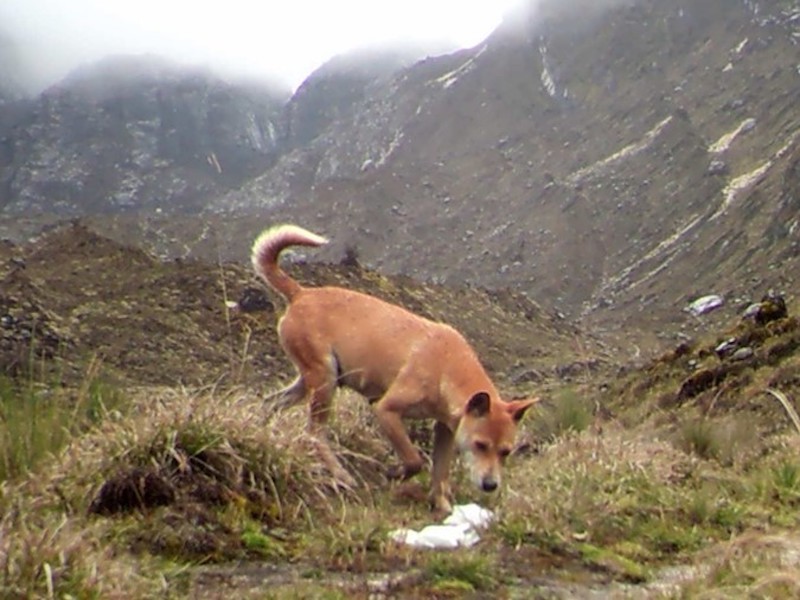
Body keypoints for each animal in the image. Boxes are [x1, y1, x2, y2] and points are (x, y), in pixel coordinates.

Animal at [250, 223, 536, 512]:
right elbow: (414, 460)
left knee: (270, 404)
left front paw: (443, 507)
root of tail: (301, 293)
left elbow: (440, 473)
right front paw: (395, 473)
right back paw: (341, 474)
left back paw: (262, 433)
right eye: (480, 445)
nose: (490, 485)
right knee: (313, 434)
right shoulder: (386, 410)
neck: (446, 366)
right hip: (324, 383)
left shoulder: (445, 430)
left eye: (505, 451)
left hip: (311, 381)